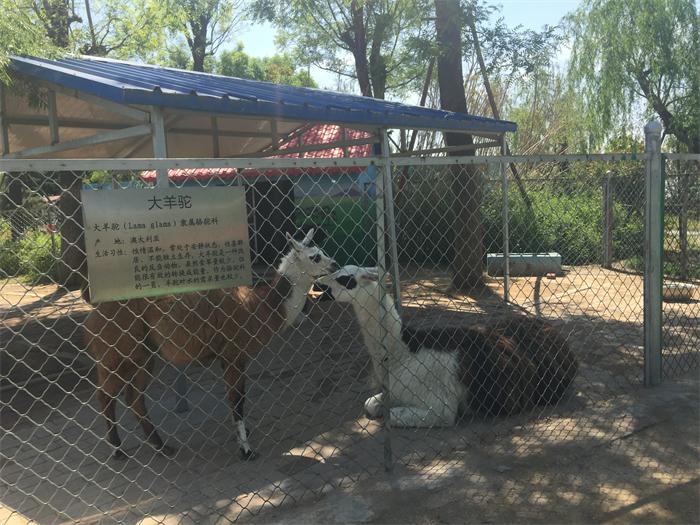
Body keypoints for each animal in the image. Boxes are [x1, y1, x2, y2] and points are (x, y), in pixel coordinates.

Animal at [84, 229, 338, 460]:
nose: (335, 264)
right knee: (105, 395)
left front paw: (244, 436)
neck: (259, 306)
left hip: (143, 354)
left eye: (322, 250)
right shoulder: (234, 353)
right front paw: (246, 450)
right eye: (315, 256)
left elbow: (236, 401)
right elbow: (238, 401)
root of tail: (92, 318)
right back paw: (118, 450)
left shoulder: (228, 357)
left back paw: (162, 447)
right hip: (116, 351)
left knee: (134, 398)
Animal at [316, 265, 578, 427]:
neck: (403, 353)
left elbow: (392, 416)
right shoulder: (395, 391)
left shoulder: (440, 408)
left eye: (345, 279)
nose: (318, 286)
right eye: (336, 270)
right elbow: (370, 404)